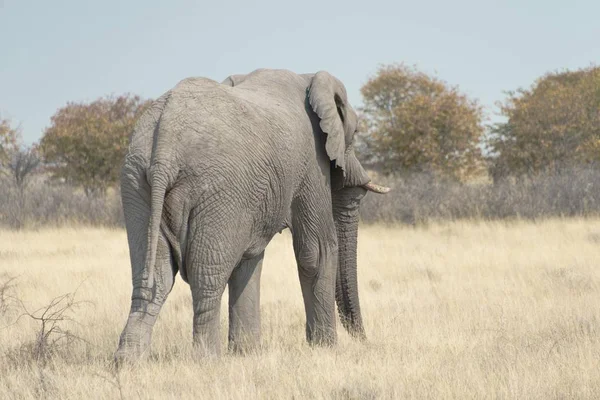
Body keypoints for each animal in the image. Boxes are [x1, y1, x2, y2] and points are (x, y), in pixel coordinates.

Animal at [115, 67, 392, 360]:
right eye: (356, 131)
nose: (365, 340)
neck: (309, 77)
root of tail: (165, 146)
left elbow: (250, 257)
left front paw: (246, 352)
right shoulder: (311, 162)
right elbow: (316, 251)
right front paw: (326, 349)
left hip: (136, 182)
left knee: (154, 277)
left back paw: (128, 361)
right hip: (217, 189)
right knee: (206, 277)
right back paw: (207, 359)